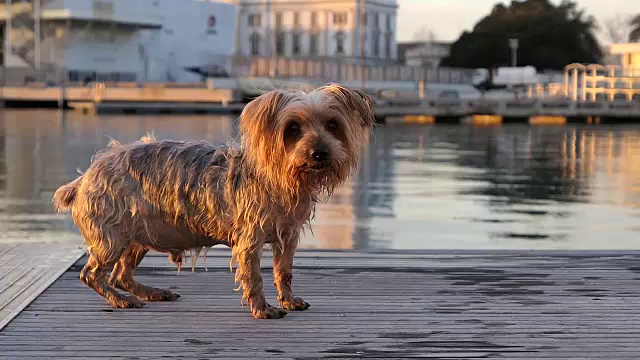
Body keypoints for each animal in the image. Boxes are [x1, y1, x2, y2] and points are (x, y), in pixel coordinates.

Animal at [55, 83, 378, 318]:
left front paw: (288, 300)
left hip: (138, 235)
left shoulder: (287, 235)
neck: (281, 179)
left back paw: (152, 292)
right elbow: (253, 276)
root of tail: (84, 179)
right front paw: (262, 308)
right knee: (92, 274)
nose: (319, 152)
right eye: (293, 129)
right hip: (110, 236)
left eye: (333, 125)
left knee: (121, 274)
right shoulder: (249, 238)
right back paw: (121, 300)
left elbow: (283, 271)